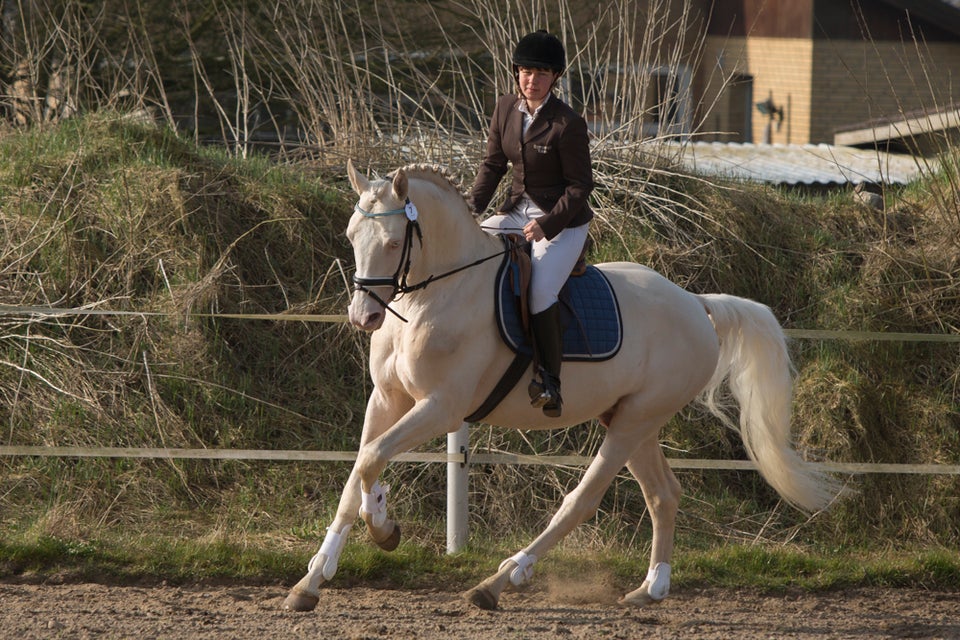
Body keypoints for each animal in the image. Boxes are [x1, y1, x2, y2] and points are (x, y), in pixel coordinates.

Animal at [284, 162, 840, 612]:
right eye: (351, 234)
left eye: (394, 242)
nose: (363, 317)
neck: (436, 294)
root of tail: (694, 302)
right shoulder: (388, 400)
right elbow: (361, 466)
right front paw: (318, 575)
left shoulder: (441, 407)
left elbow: (372, 457)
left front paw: (379, 529)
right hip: (632, 419)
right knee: (663, 494)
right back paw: (651, 588)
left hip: (633, 422)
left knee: (583, 499)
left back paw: (503, 579)